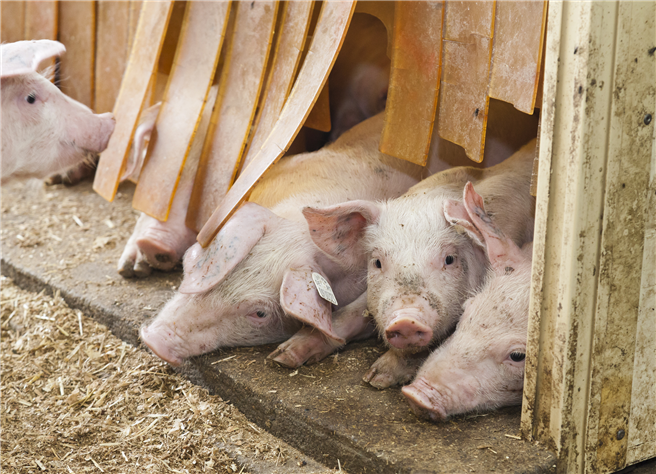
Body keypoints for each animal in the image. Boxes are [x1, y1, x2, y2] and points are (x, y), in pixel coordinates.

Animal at [302, 138, 540, 388]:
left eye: (449, 259)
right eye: (377, 262)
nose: (406, 319)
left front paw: (378, 378)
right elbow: (355, 310)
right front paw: (288, 354)